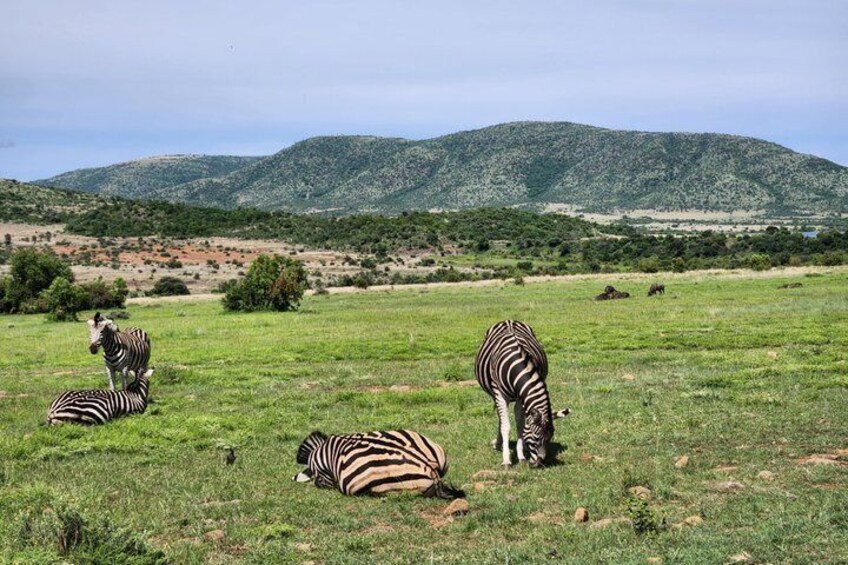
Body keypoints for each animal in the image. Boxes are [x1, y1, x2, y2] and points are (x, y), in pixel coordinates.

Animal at [475, 320, 569, 467]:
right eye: (536, 438)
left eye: (550, 437)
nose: (538, 463)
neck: (515, 363)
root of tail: (509, 320)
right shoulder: (499, 394)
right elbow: (506, 426)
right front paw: (506, 460)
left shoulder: (521, 396)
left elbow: (520, 424)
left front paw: (521, 455)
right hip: (496, 395)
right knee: (500, 418)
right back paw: (499, 444)